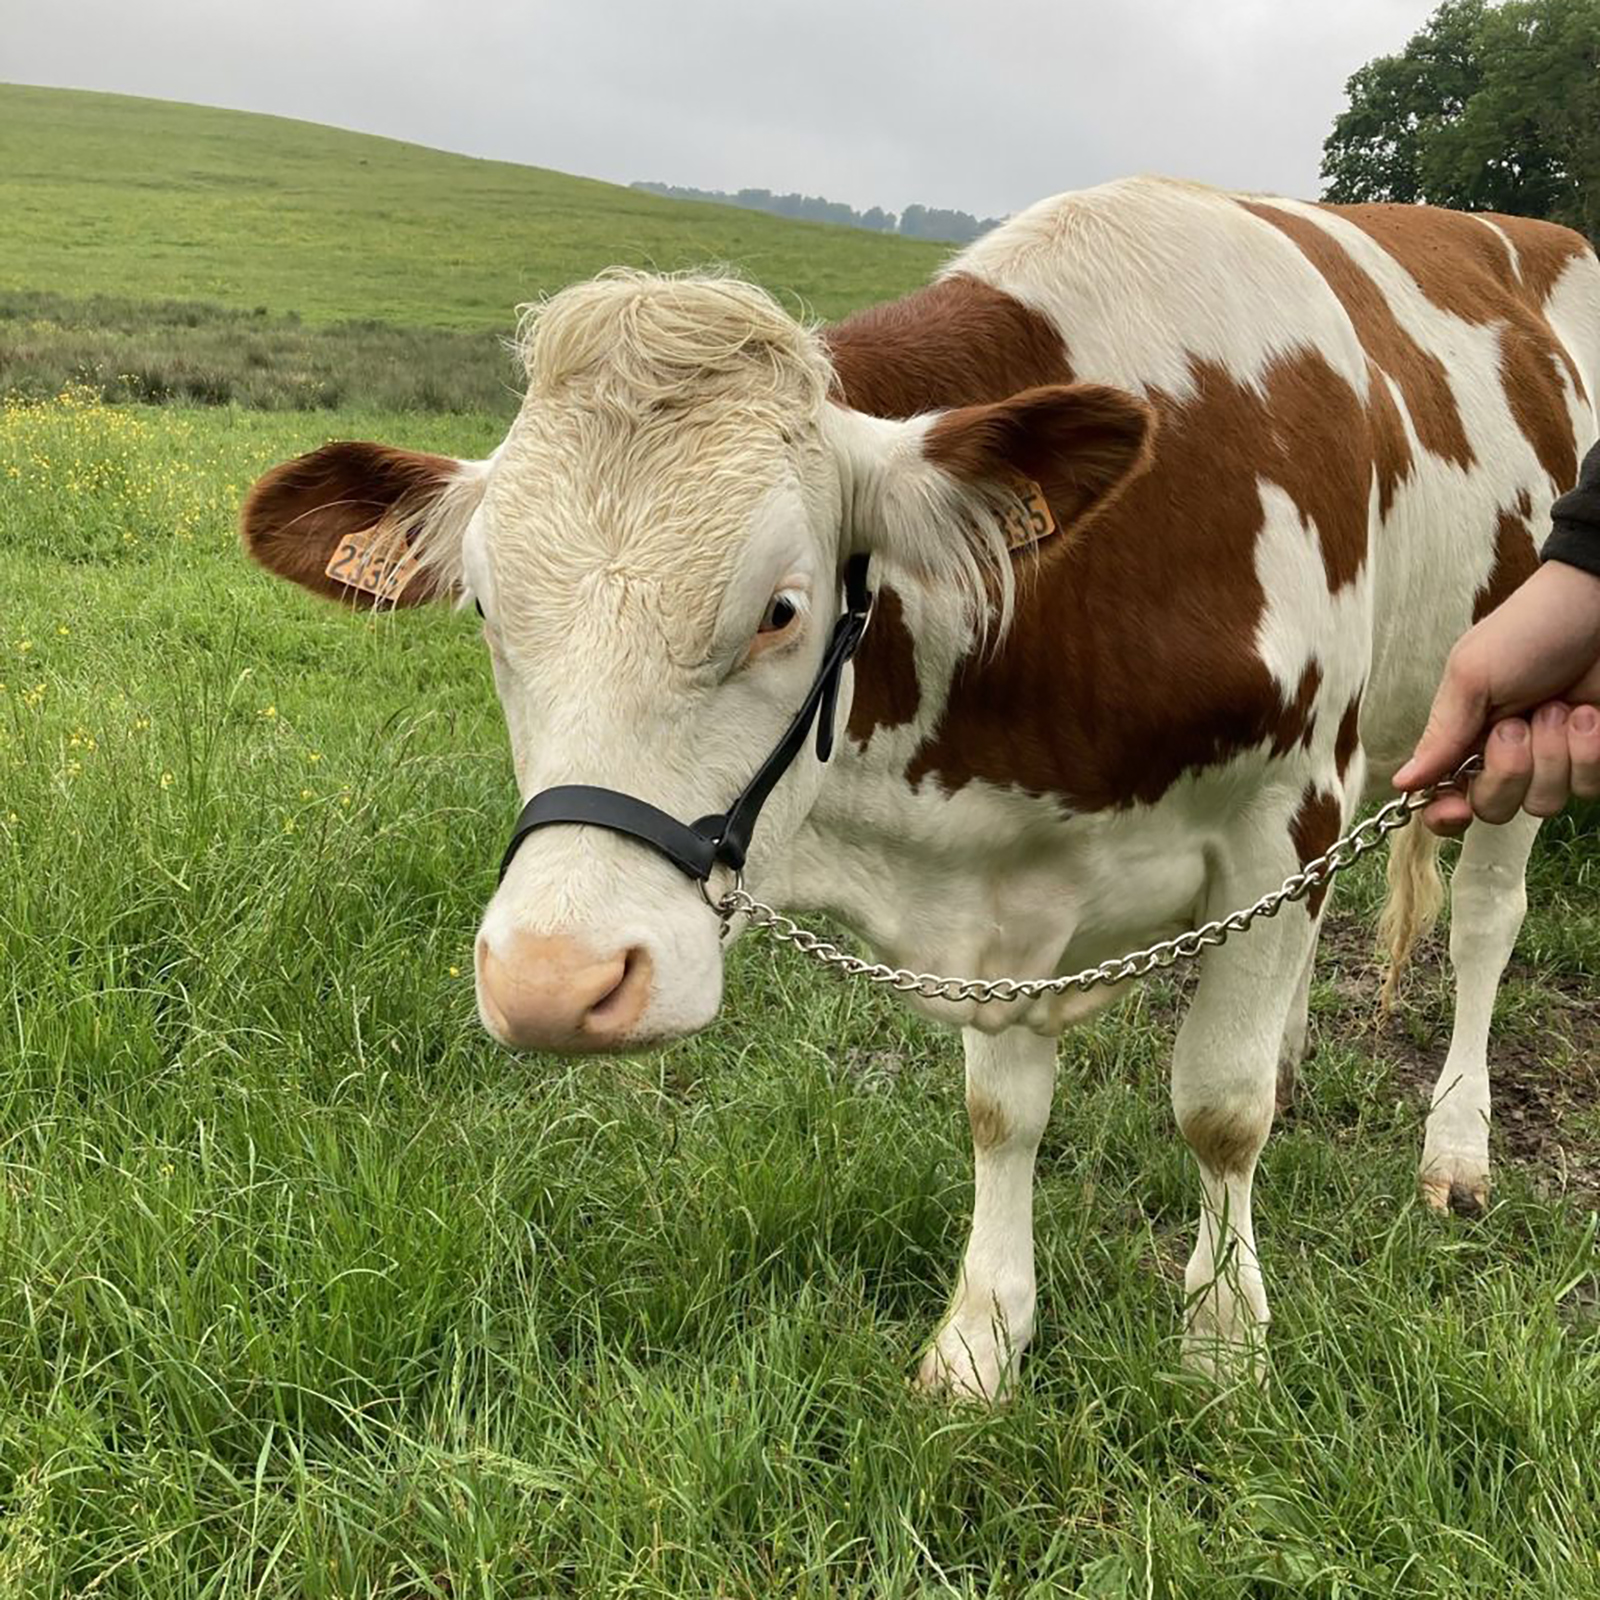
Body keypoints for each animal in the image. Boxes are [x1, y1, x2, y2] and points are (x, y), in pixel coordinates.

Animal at [241, 177, 1600, 1399]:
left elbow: (1218, 1110)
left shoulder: (1284, 807)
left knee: (1482, 922)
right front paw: (982, 1338)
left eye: (781, 609)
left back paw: (1456, 1143)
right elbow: (1002, 1113)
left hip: (1507, 721)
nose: (552, 982)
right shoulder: (1007, 895)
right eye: (483, 608)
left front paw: (1223, 1341)